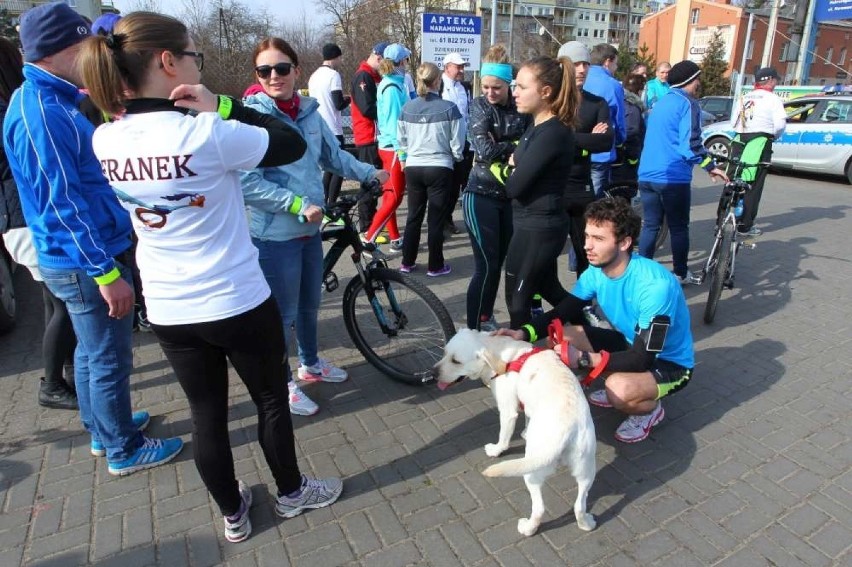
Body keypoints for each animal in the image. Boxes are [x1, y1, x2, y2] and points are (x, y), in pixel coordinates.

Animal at [436, 328, 596, 536]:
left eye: (456, 361)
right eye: (444, 353)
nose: (432, 373)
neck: (502, 354)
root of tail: (568, 430)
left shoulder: (507, 411)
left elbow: (504, 438)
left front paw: (496, 450)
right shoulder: (526, 404)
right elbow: (527, 417)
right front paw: (526, 432)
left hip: (532, 472)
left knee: (540, 508)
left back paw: (527, 528)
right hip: (587, 471)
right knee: (579, 506)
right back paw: (587, 524)